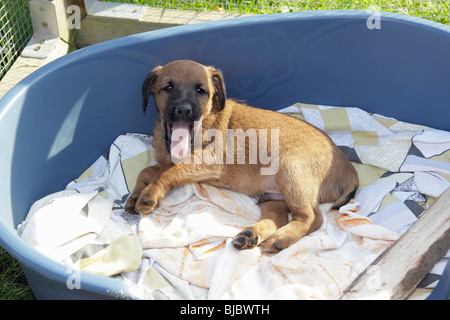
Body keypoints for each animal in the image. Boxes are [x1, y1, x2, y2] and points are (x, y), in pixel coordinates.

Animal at [125, 60, 356, 254]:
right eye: (168, 88)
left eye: (201, 91)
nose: (183, 110)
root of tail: (349, 170)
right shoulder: (170, 161)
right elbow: (149, 170)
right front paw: (136, 193)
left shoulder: (209, 159)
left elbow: (169, 172)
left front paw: (150, 192)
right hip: (274, 196)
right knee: (279, 217)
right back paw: (252, 235)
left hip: (291, 171)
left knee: (313, 218)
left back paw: (280, 238)